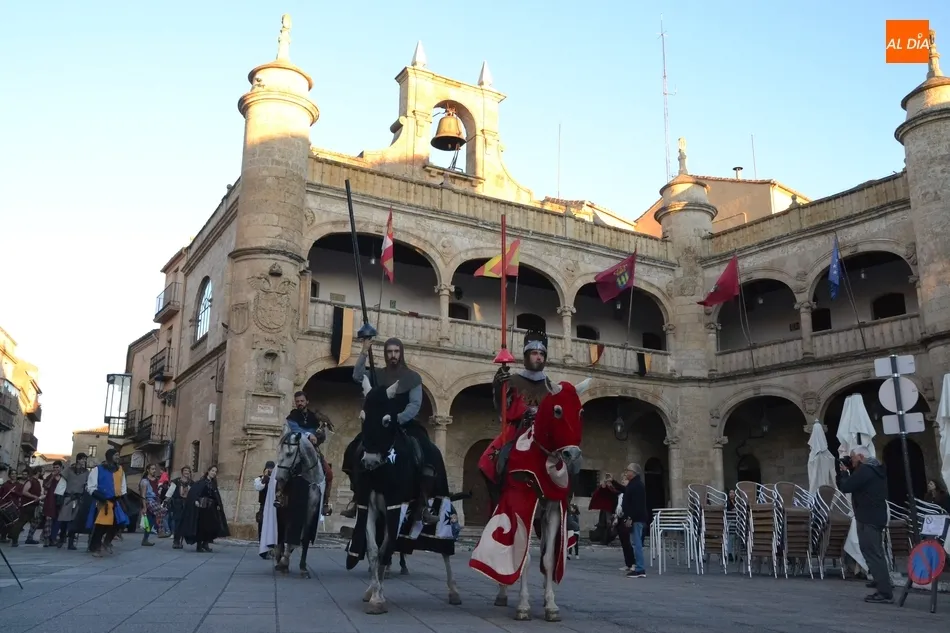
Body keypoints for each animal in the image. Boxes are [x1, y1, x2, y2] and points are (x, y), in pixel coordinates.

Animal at [272, 426, 326, 578]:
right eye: (279, 451)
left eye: (290, 453)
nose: (279, 478)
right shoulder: (292, 510)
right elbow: (289, 535)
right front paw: (283, 562)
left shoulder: (311, 511)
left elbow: (305, 538)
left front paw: (303, 568)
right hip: (281, 511)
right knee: (281, 535)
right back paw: (279, 559)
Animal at [344, 375, 461, 615]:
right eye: (362, 417)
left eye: (387, 421)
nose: (369, 461)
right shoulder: (370, 508)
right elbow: (374, 550)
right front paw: (374, 592)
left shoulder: (395, 507)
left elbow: (384, 550)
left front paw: (378, 599)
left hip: (441, 501)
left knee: (445, 550)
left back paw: (453, 591)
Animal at [470, 377, 590, 622]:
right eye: (557, 410)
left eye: (581, 411)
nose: (572, 456)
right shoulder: (520, 508)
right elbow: (523, 557)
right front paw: (523, 606)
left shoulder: (553, 511)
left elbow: (549, 558)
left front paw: (551, 605)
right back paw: (502, 594)